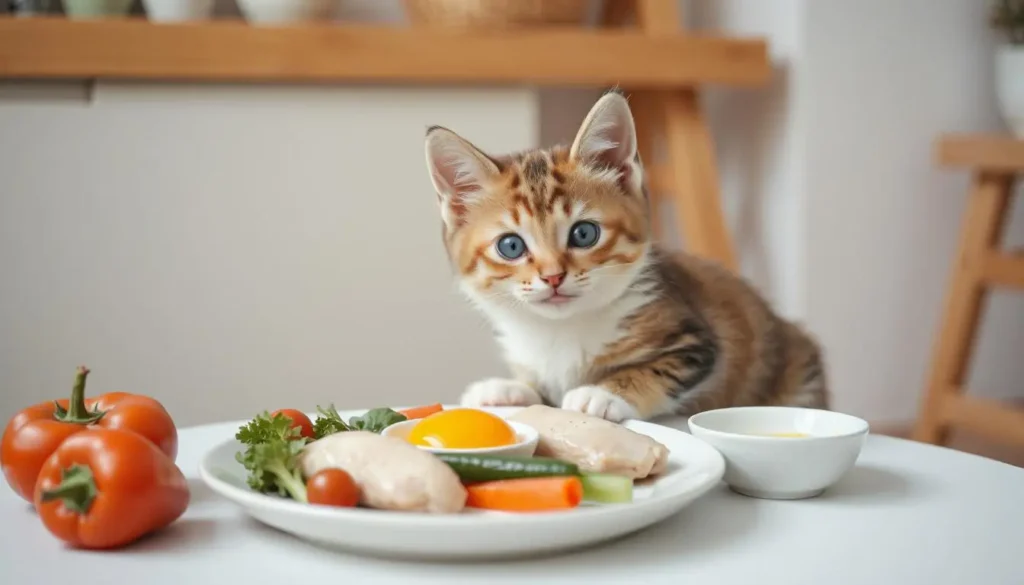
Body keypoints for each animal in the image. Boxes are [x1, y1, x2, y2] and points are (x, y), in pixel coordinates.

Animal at [419, 90, 827, 422]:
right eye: (511, 246)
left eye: (584, 234)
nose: (553, 277)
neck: (560, 329)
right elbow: (538, 387)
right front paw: (507, 389)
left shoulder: (696, 342)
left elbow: (657, 369)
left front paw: (602, 395)